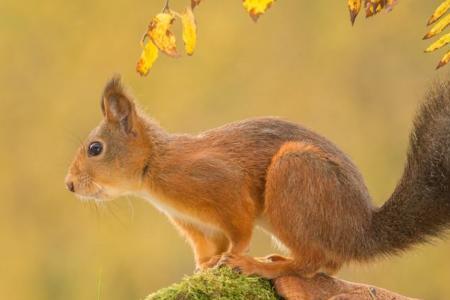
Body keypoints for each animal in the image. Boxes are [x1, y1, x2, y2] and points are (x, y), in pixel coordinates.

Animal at [66, 75, 450, 278]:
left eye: (95, 148)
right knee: (327, 264)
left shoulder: (223, 185)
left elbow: (238, 231)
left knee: (313, 263)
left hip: (295, 176)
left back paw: (265, 267)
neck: (155, 168)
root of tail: (358, 231)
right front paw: (204, 267)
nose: (69, 185)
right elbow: (208, 247)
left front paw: (234, 257)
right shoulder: (193, 224)